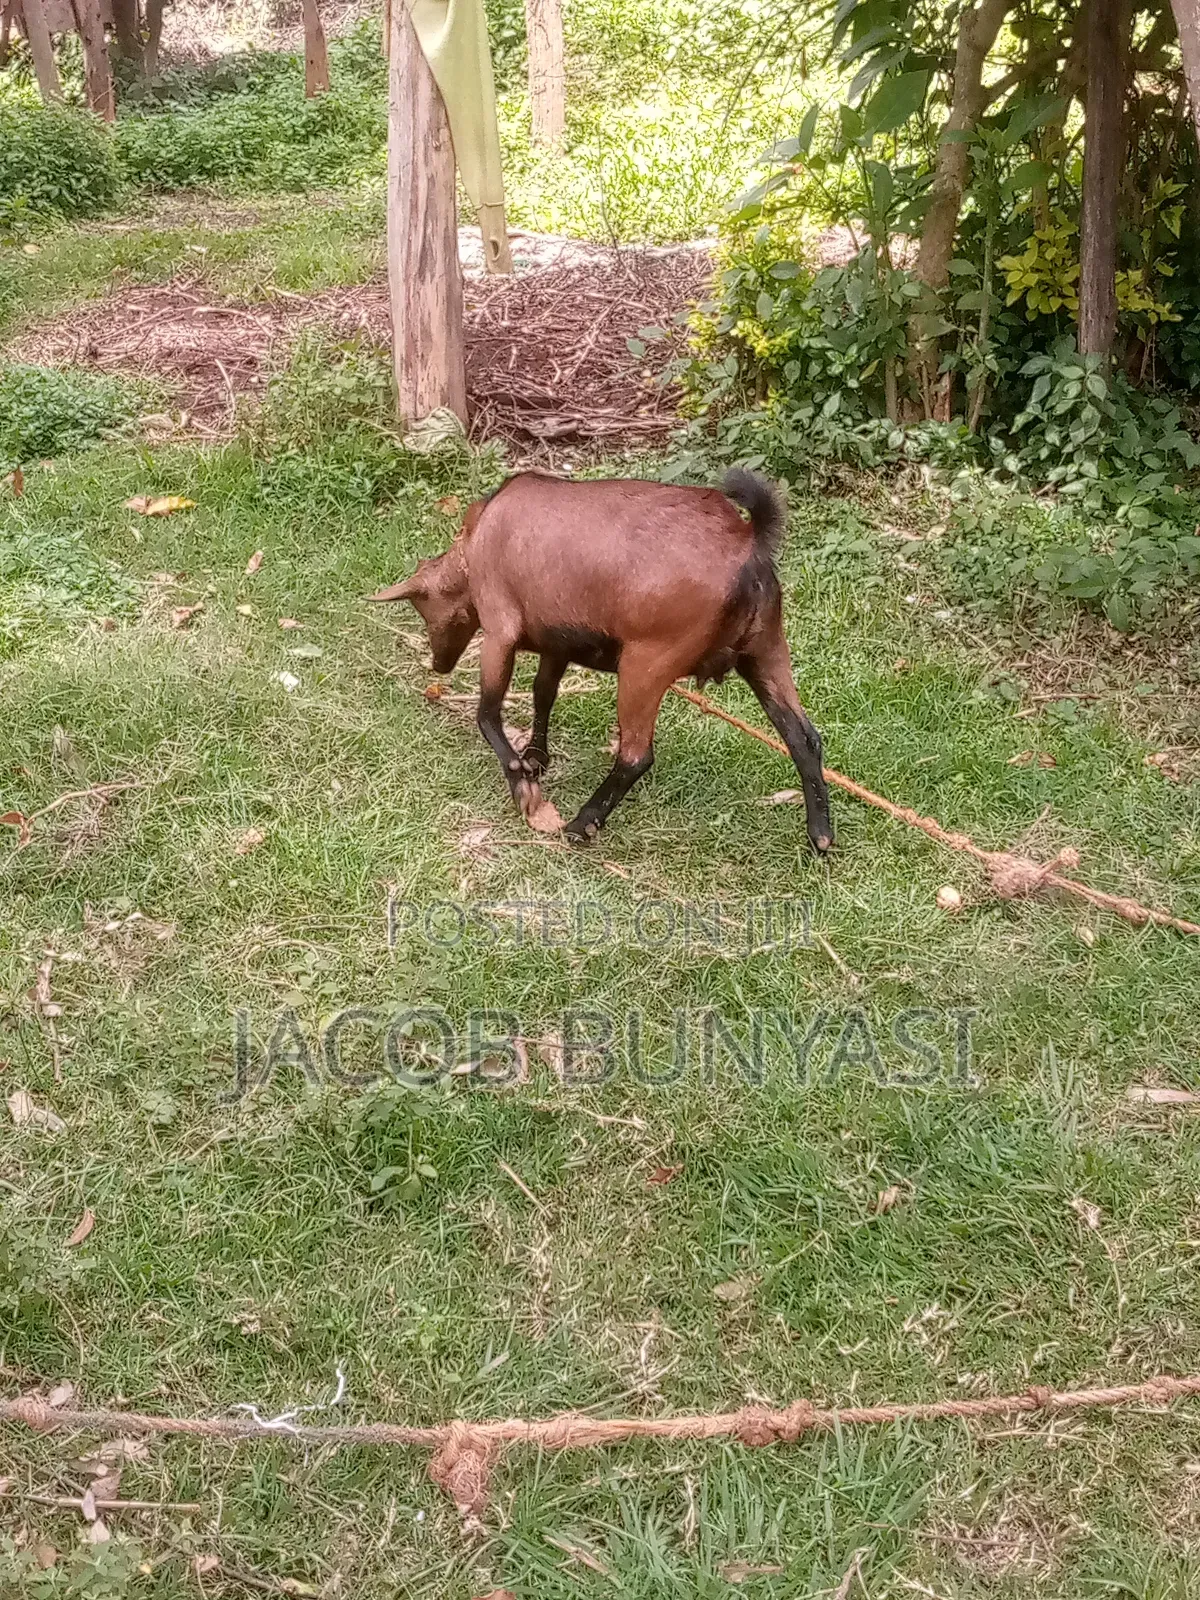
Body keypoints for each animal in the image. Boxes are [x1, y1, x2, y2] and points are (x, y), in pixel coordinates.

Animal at [369, 469, 832, 851]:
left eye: (424, 607)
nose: (439, 664)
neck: (480, 532)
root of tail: (749, 543)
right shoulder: (556, 643)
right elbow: (543, 693)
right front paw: (536, 757)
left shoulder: (500, 629)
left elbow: (487, 714)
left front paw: (523, 785)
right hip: (765, 652)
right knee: (803, 737)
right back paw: (821, 835)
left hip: (647, 664)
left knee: (635, 755)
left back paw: (583, 823)